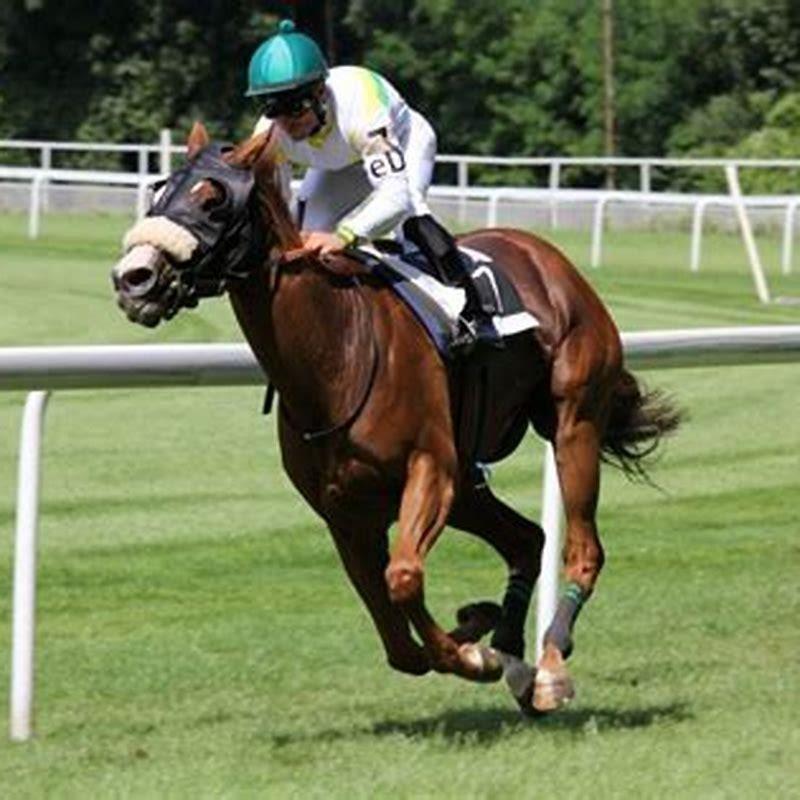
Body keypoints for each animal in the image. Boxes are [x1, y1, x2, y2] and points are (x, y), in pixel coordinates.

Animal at [111, 122, 680, 714]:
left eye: (214, 199)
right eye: (159, 191)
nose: (134, 278)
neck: (336, 354)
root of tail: (546, 255)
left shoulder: (430, 469)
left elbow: (403, 578)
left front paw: (474, 654)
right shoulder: (344, 512)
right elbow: (397, 640)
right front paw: (478, 633)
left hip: (572, 423)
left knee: (583, 547)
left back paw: (548, 667)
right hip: (469, 483)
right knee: (527, 540)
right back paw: (513, 655)